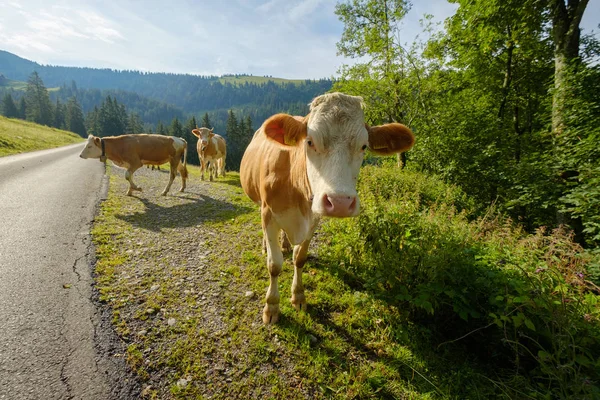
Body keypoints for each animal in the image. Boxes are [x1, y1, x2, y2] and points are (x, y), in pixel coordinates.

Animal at [238, 92, 412, 324]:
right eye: (310, 142)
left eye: (364, 146)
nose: (340, 202)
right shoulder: (269, 214)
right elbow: (274, 265)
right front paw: (272, 307)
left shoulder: (313, 218)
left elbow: (299, 258)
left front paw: (298, 296)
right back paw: (267, 245)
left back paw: (285, 244)